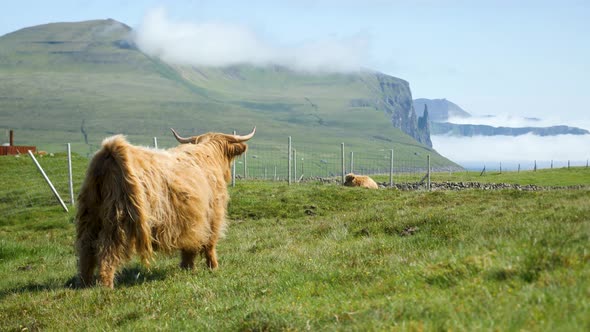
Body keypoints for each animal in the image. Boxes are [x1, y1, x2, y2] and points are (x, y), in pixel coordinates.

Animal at [75, 127, 256, 288]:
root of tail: (110, 152)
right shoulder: (213, 215)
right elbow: (209, 244)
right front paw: (213, 267)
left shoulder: (190, 221)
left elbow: (189, 246)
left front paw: (187, 268)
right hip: (119, 217)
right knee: (108, 251)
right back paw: (106, 285)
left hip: (90, 215)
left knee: (87, 249)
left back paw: (85, 283)